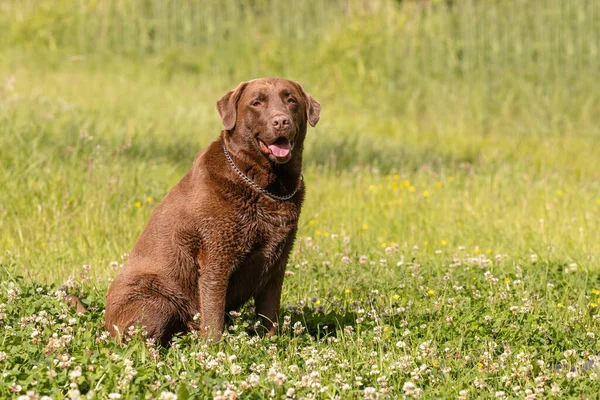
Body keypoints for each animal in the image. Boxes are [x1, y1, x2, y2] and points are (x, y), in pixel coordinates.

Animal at [104, 78, 318, 344]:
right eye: (256, 102)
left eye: (291, 100)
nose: (281, 121)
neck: (266, 186)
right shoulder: (217, 257)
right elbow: (214, 314)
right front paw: (214, 346)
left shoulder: (277, 263)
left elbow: (269, 313)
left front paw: (271, 343)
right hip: (157, 300)